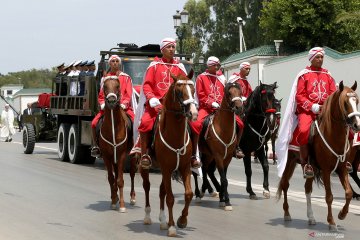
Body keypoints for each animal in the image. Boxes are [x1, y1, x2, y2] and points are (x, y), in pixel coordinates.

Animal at [97, 76, 136, 212]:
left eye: (118, 86)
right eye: (104, 86)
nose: (112, 101)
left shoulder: (122, 155)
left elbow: (120, 180)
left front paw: (122, 205)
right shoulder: (106, 156)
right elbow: (111, 178)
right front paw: (114, 200)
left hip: (133, 156)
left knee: (132, 173)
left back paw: (132, 197)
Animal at [139, 71, 198, 236]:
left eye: (193, 89)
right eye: (179, 91)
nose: (193, 113)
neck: (175, 134)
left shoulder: (184, 167)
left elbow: (188, 194)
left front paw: (182, 220)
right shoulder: (166, 168)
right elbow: (170, 198)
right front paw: (172, 227)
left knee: (161, 191)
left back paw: (163, 220)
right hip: (146, 167)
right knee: (147, 186)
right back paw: (148, 216)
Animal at [197, 80, 245, 208]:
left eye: (240, 92)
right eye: (229, 93)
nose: (239, 108)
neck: (224, 129)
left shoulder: (227, 158)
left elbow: (225, 179)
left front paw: (223, 198)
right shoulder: (218, 156)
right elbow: (223, 179)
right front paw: (226, 201)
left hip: (209, 155)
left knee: (205, 169)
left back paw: (207, 189)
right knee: (197, 171)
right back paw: (199, 193)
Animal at [276, 81, 360, 232]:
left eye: (356, 100)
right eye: (345, 102)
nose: (357, 125)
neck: (333, 135)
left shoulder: (342, 168)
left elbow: (349, 193)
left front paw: (342, 214)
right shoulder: (326, 170)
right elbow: (329, 196)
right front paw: (331, 222)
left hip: (310, 166)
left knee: (307, 189)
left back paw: (311, 217)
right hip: (289, 161)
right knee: (285, 184)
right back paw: (287, 213)